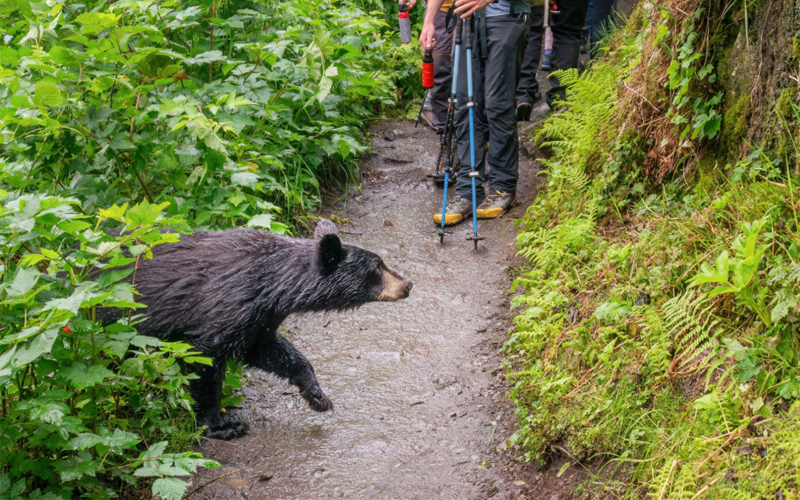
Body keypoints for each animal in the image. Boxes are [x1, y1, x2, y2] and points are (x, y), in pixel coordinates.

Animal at [117, 220, 412, 440]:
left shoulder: (259, 318)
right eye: (377, 266)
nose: (407, 284)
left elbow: (271, 351)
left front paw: (317, 396)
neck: (270, 284)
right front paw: (221, 426)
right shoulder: (226, 306)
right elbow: (205, 361)